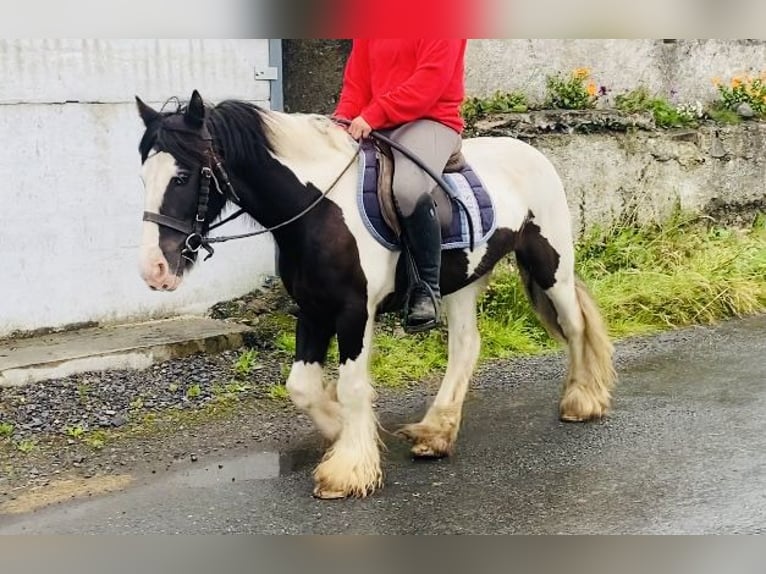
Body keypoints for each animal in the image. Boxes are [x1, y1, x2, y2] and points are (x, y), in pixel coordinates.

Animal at [134, 89, 616, 500]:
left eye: (182, 176)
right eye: (143, 175)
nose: (154, 270)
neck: (318, 211)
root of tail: (530, 152)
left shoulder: (353, 311)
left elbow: (351, 387)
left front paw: (347, 468)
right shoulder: (312, 309)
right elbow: (303, 387)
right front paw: (342, 431)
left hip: (551, 264)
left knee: (574, 325)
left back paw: (581, 401)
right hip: (462, 281)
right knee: (465, 346)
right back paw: (435, 433)